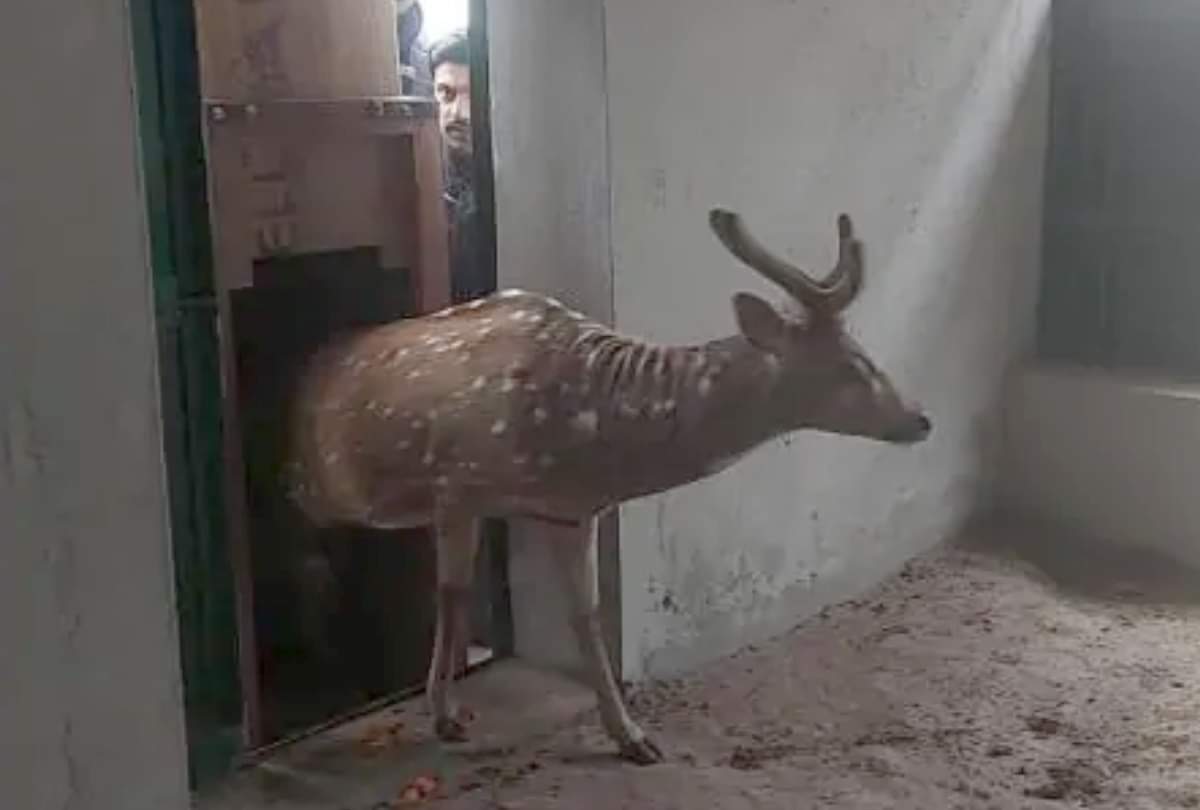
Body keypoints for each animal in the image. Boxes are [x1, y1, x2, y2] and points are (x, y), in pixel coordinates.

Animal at [286, 206, 932, 765]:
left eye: (864, 351)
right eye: (848, 367)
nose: (920, 419)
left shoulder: (569, 509)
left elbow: (584, 614)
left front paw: (628, 735)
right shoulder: (457, 485)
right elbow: (455, 594)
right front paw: (446, 716)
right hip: (309, 492)